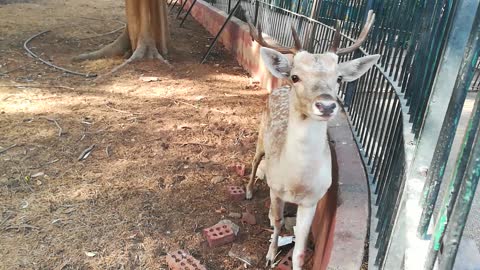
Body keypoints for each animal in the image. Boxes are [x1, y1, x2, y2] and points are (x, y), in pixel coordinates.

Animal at [246, 11, 380, 268]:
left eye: (339, 77)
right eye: (296, 76)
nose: (326, 105)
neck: (296, 183)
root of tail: (280, 88)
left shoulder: (312, 200)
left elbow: (299, 248)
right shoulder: (276, 189)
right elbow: (278, 223)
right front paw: (270, 255)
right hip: (260, 136)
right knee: (256, 161)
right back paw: (248, 191)